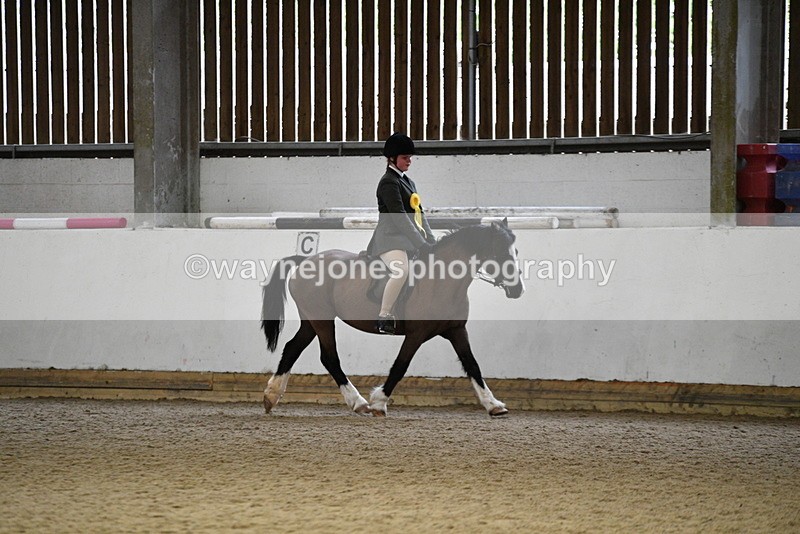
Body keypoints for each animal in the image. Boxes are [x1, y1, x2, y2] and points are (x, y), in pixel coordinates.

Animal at [260, 219, 525, 417]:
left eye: (516, 251)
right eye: (501, 252)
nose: (518, 290)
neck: (442, 281)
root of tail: (305, 260)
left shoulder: (456, 330)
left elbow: (473, 365)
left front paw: (494, 405)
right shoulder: (416, 334)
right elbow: (400, 366)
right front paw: (379, 402)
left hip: (311, 320)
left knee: (292, 348)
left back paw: (271, 396)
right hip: (321, 320)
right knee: (329, 358)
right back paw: (359, 402)